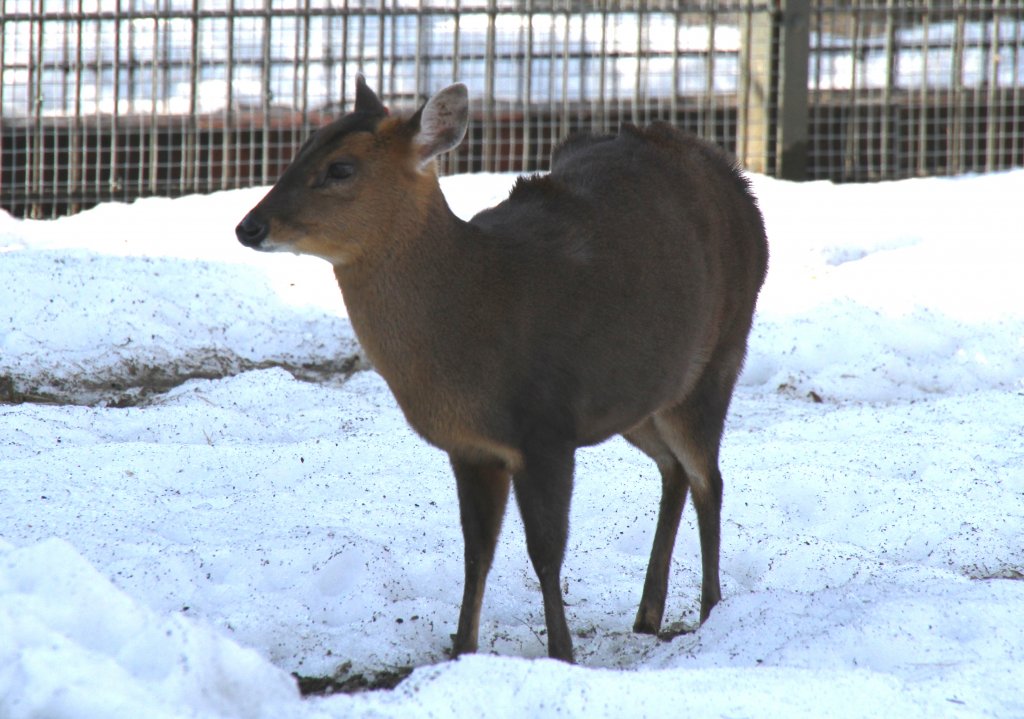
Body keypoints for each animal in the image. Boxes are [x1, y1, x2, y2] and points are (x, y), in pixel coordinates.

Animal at [235, 75, 770, 663]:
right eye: (303, 145)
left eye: (341, 168)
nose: (248, 226)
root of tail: (734, 178)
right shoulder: (471, 447)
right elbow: (478, 550)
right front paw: (462, 650)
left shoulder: (546, 427)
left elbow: (545, 551)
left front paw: (561, 653)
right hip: (640, 398)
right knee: (673, 471)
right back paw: (647, 614)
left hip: (719, 359)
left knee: (708, 477)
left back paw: (710, 610)